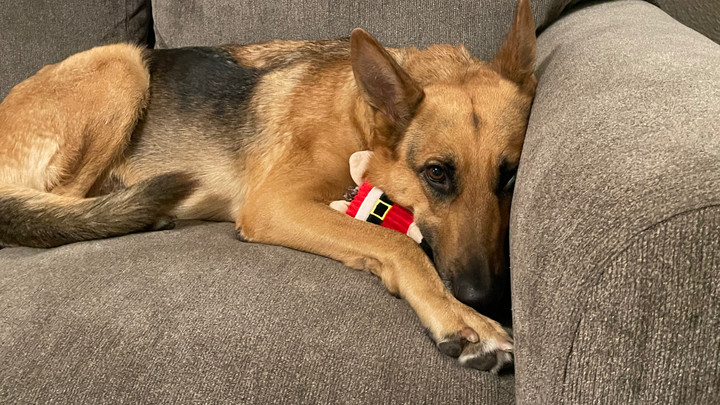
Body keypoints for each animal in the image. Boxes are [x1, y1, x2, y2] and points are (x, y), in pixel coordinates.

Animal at [0, 0, 536, 372]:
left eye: (510, 175)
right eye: (437, 173)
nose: (484, 297)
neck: (361, 119)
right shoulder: (276, 204)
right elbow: (396, 244)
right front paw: (462, 320)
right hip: (122, 65)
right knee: (60, 210)